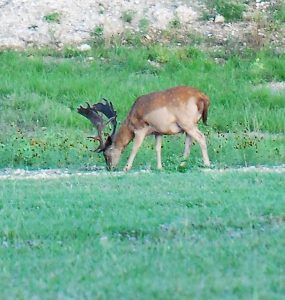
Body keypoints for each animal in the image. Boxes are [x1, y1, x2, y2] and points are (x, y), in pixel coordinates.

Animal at [76, 86, 210, 171]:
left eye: (106, 154)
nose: (109, 168)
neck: (130, 121)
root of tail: (202, 97)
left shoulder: (140, 129)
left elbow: (135, 147)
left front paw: (126, 167)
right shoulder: (158, 131)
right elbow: (157, 148)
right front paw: (159, 167)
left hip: (187, 122)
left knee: (201, 137)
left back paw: (207, 164)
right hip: (191, 124)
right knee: (189, 142)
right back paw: (182, 165)